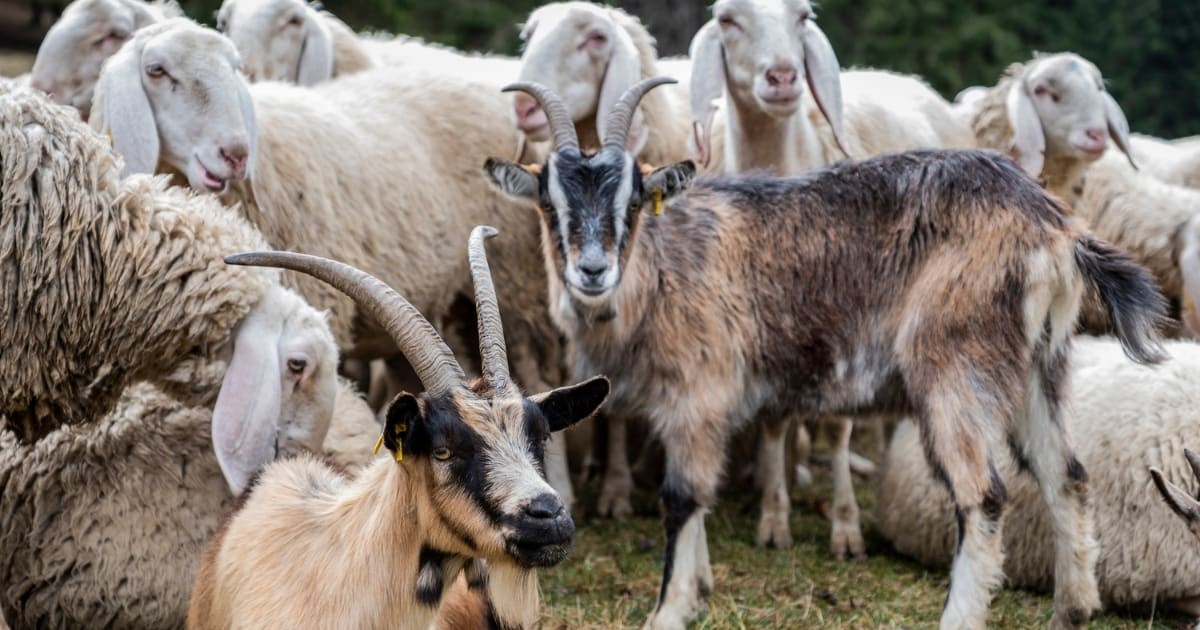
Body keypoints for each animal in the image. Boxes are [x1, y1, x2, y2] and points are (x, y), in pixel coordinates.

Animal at [484, 79, 1166, 630]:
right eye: (549, 203)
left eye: (630, 203)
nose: (592, 270)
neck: (663, 269)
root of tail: (1054, 229)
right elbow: (699, 500)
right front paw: (701, 587)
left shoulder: (698, 394)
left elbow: (681, 498)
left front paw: (670, 609)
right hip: (1037, 365)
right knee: (1065, 475)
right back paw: (1071, 608)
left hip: (956, 360)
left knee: (983, 494)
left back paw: (962, 615)